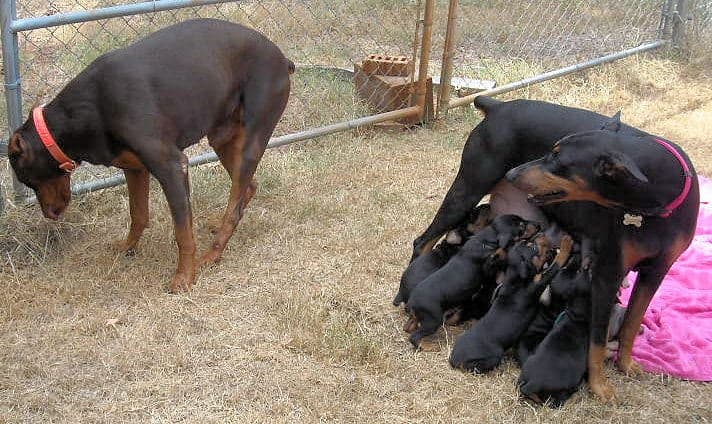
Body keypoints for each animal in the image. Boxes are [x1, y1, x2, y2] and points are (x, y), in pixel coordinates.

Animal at [404, 215, 536, 348]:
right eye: (521, 226)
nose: (538, 225)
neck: (484, 240)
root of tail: (411, 301)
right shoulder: (488, 267)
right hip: (433, 320)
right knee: (414, 337)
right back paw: (428, 347)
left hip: (420, 317)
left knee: (409, 327)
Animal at [450, 235, 572, 374]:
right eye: (533, 247)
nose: (542, 235)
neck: (514, 279)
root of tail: (454, 359)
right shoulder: (537, 284)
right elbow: (555, 265)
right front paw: (566, 244)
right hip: (492, 358)